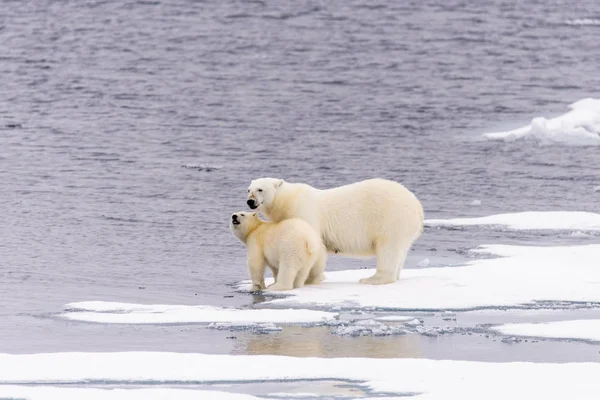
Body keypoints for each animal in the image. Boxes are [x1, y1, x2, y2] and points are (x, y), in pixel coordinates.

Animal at [246, 177, 424, 284]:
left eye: (260, 189)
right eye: (248, 189)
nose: (250, 201)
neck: (287, 200)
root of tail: (417, 206)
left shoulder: (304, 212)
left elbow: (314, 244)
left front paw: (312, 279)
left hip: (391, 219)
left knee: (388, 249)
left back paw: (372, 279)